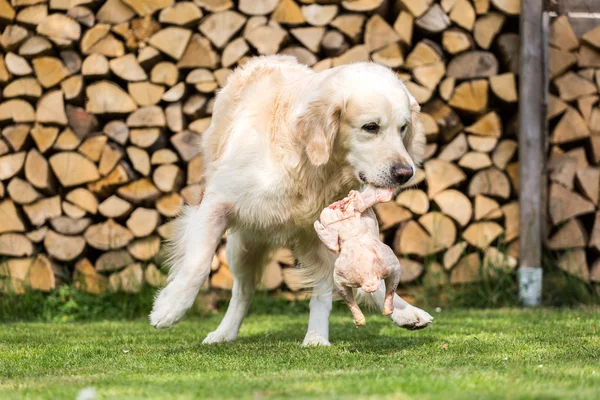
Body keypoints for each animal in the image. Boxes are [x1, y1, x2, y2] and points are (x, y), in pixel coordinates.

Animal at [149, 54, 432, 346]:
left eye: (403, 128)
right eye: (371, 127)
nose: (405, 173)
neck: (311, 167)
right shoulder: (216, 203)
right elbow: (198, 264)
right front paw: (169, 308)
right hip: (242, 245)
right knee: (242, 291)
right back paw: (224, 333)